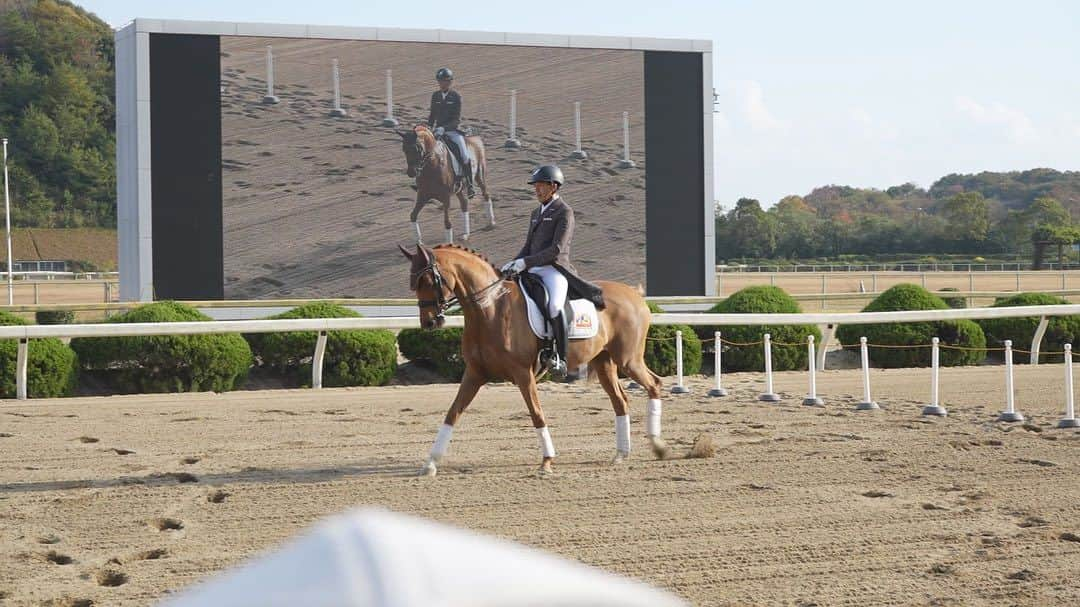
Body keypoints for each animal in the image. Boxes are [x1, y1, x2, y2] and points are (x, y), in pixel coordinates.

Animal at [397, 239, 665, 473]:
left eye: (428, 279)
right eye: (413, 282)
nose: (429, 323)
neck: (490, 309)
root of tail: (634, 293)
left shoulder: (523, 374)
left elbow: (536, 414)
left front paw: (547, 461)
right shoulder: (474, 374)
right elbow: (452, 413)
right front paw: (430, 463)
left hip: (628, 360)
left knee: (654, 384)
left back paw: (657, 445)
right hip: (604, 363)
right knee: (620, 401)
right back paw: (621, 454)